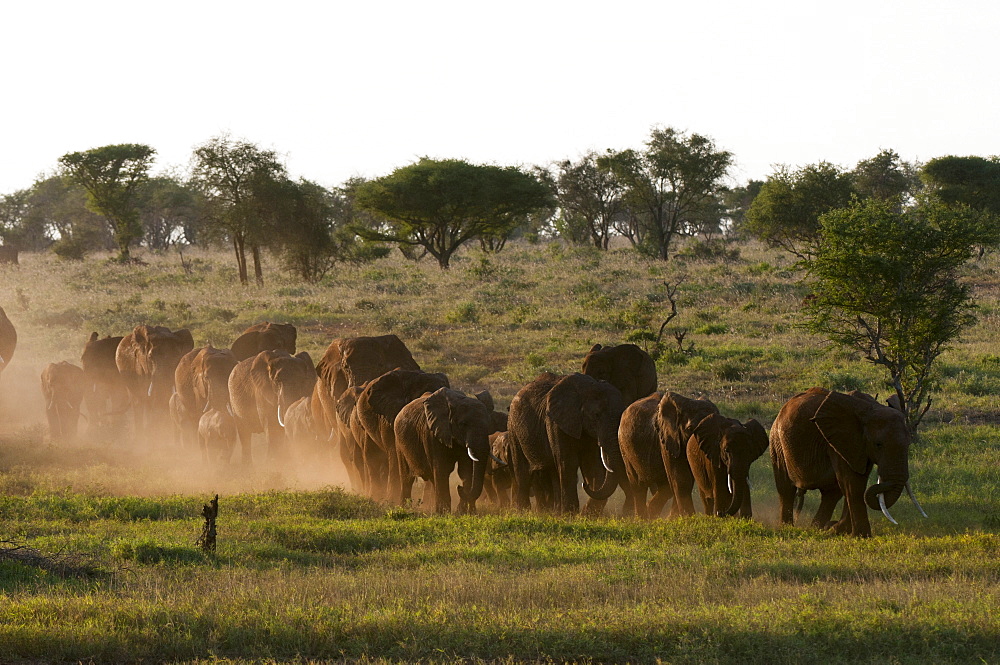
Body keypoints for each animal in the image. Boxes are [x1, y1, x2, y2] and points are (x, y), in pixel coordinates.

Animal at [508, 374, 624, 512]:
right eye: (596, 415)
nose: (584, 484)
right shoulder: (555, 423)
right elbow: (568, 462)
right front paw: (570, 513)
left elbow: (592, 465)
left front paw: (588, 514)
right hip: (514, 429)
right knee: (522, 472)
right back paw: (522, 511)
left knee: (552, 470)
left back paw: (554, 512)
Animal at [768, 386, 924, 536]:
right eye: (878, 444)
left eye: (909, 443)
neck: (872, 408)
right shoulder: (839, 440)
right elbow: (852, 482)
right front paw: (861, 535)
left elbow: (856, 481)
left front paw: (838, 529)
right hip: (776, 440)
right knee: (785, 488)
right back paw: (788, 527)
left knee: (831, 493)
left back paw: (818, 528)